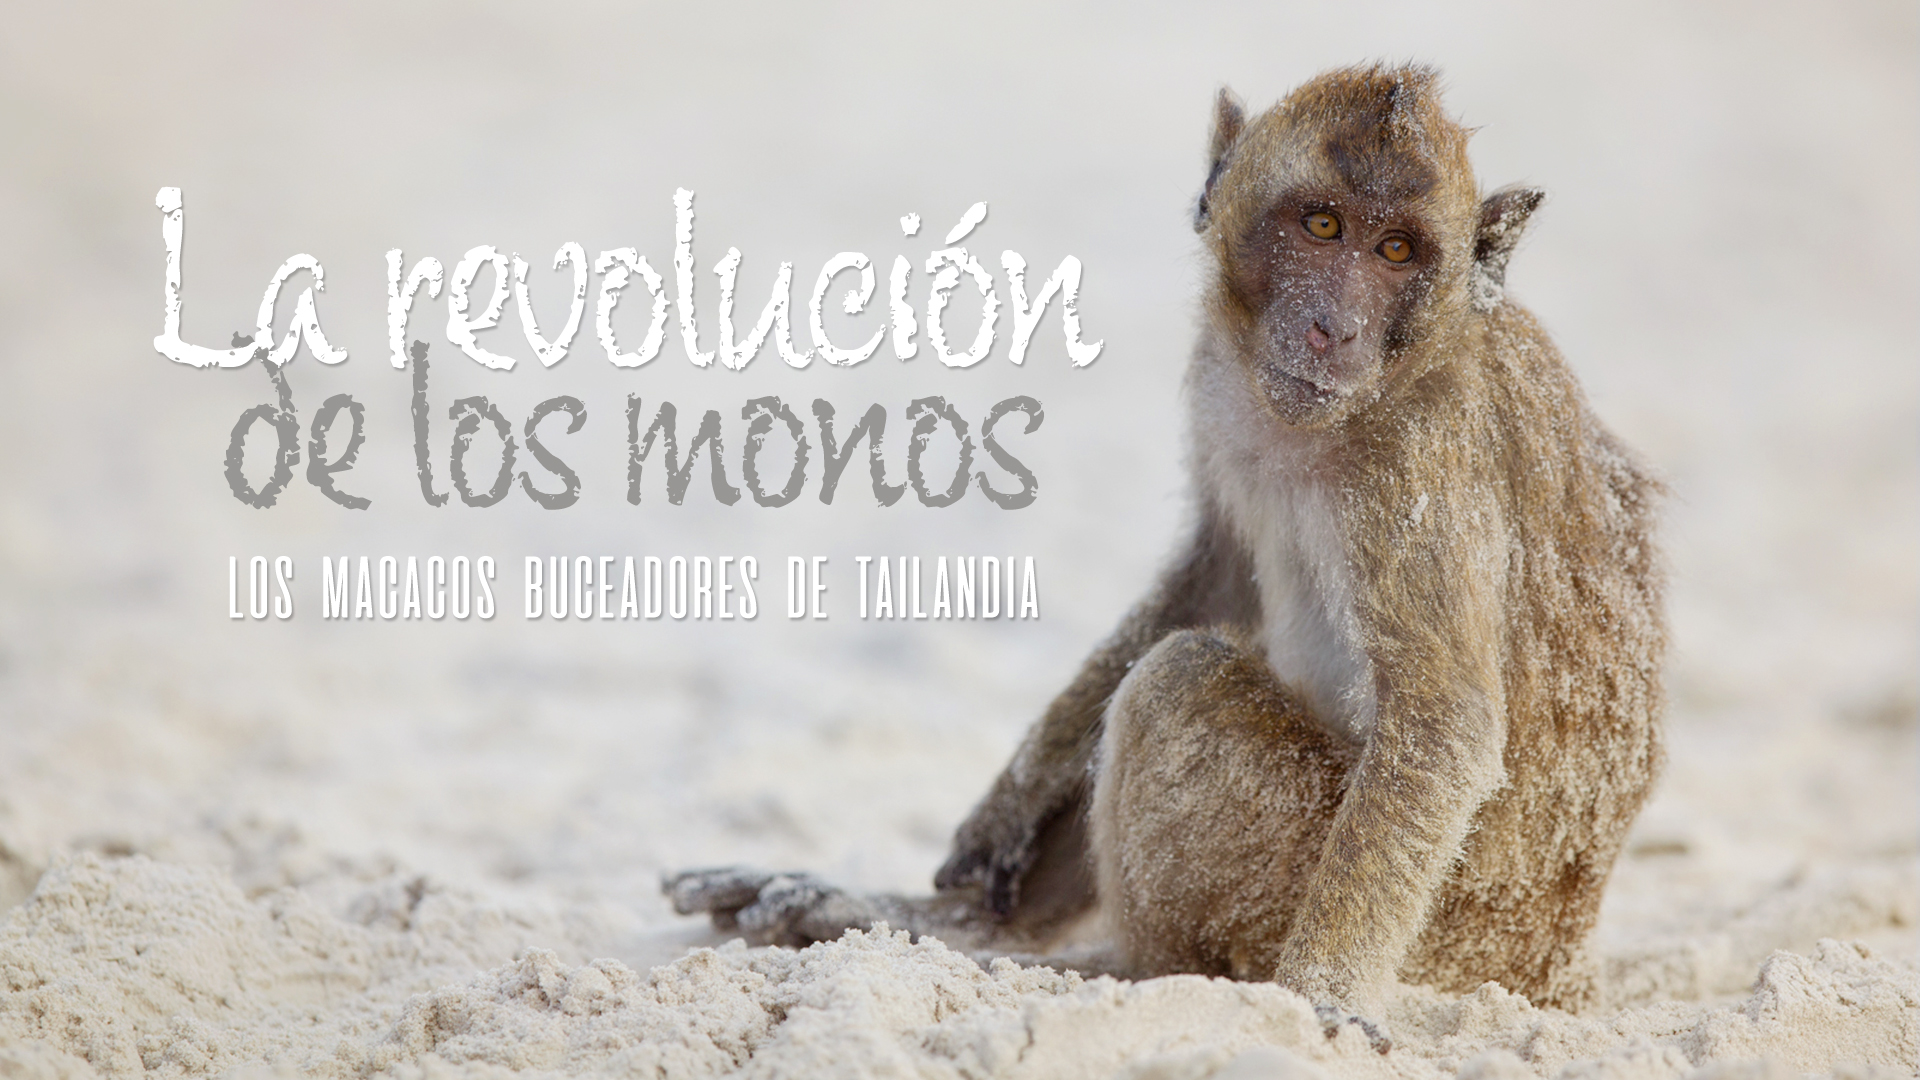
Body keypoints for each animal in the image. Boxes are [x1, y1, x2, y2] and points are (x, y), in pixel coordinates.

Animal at [669, 62, 1665, 1031]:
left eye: (1395, 251)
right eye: (1323, 225)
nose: (1333, 328)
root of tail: (1560, 963)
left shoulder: (1423, 460)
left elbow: (1443, 726)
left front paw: (1325, 995)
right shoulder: (1226, 382)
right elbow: (1217, 575)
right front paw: (1013, 797)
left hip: (1430, 936)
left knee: (1178, 683)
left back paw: (1105, 968)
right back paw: (945, 926)